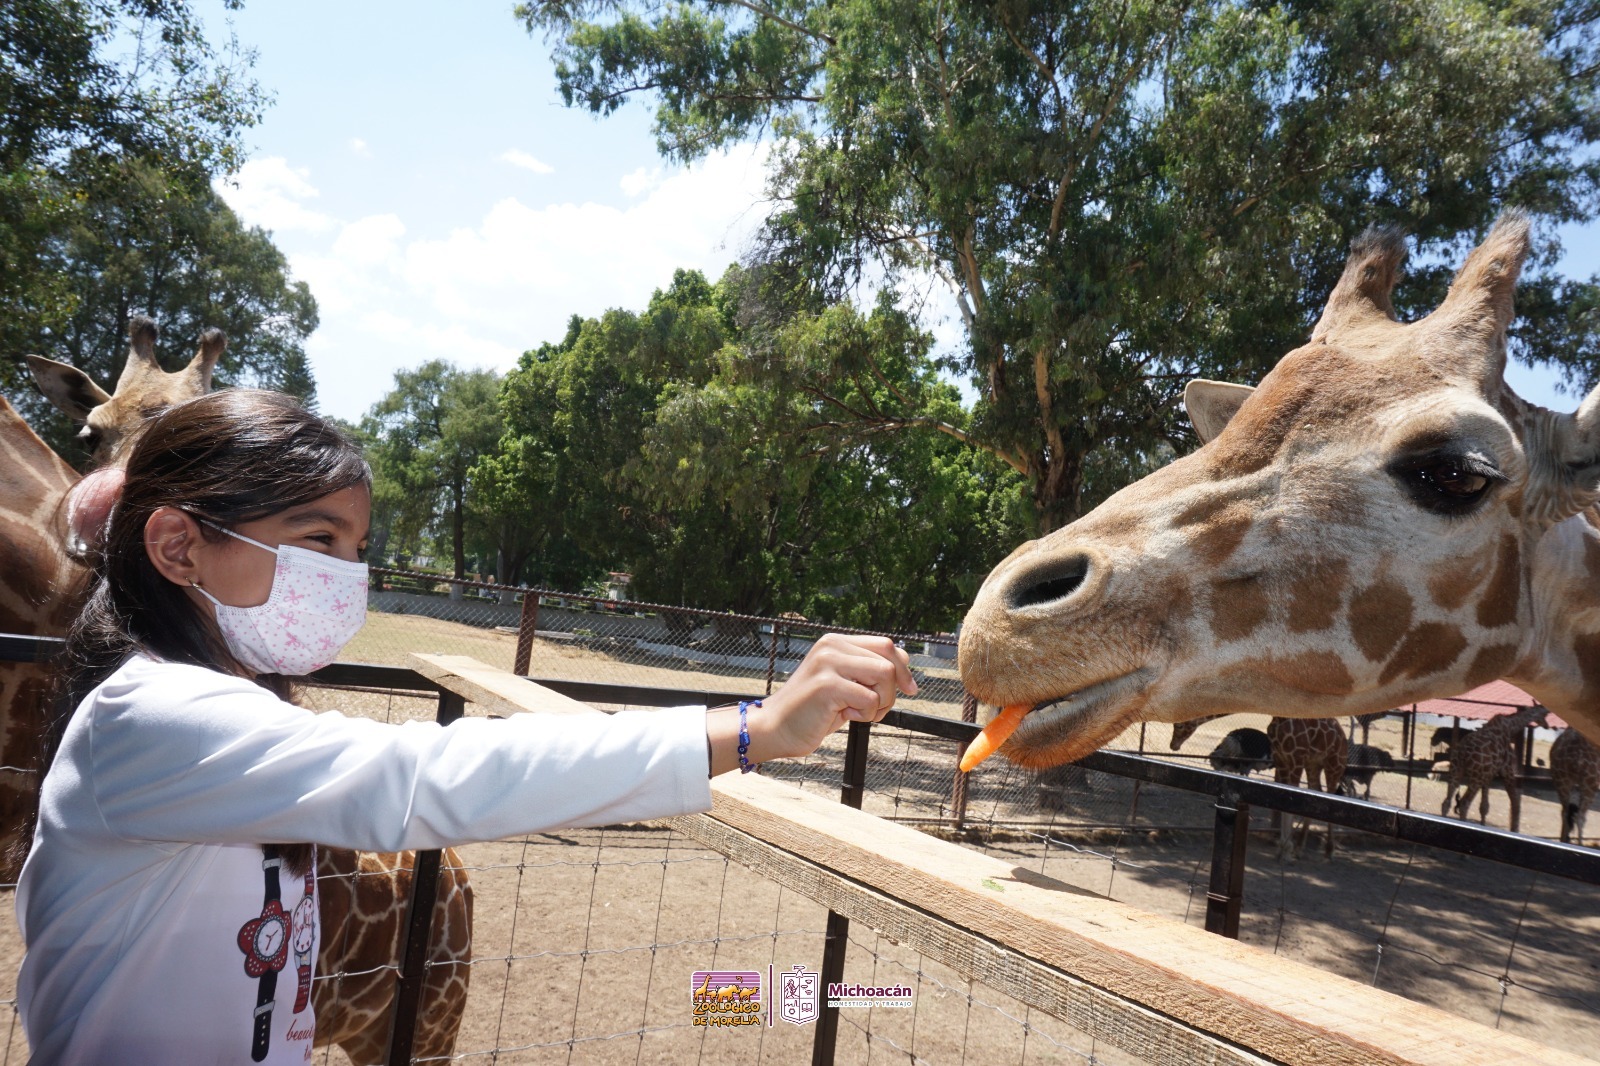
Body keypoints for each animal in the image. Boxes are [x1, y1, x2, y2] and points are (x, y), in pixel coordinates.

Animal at [1440, 704, 1548, 832]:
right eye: (1544, 714)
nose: (1547, 725)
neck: (1510, 728)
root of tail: (1462, 752)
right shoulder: (1506, 770)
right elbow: (1514, 801)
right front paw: (1514, 828)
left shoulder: (1488, 775)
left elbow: (1484, 807)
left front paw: (1483, 825)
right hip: (1475, 778)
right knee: (1464, 804)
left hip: (1455, 771)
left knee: (1446, 802)